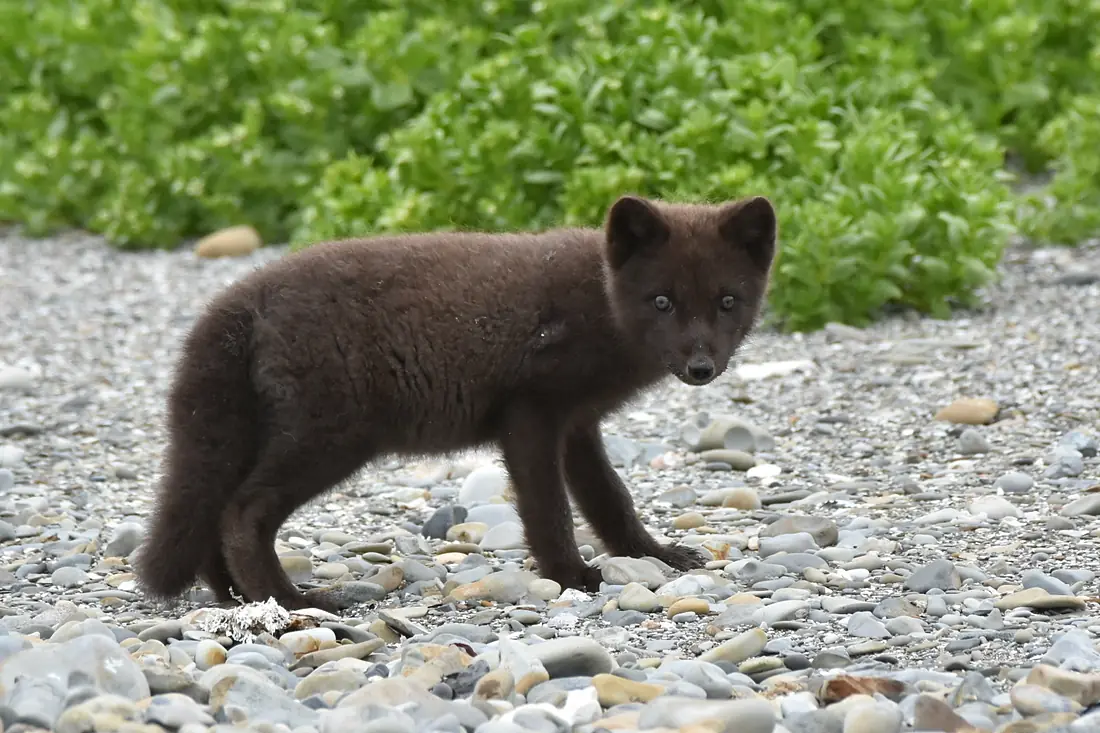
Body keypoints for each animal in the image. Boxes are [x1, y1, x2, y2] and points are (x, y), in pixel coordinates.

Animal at [133, 193, 779, 613]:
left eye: (726, 301)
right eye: (663, 301)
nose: (701, 367)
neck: (601, 300)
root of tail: (241, 299)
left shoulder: (578, 425)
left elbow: (610, 500)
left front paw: (654, 555)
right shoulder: (531, 416)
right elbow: (549, 510)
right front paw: (569, 576)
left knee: (215, 511)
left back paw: (237, 597)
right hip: (328, 436)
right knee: (242, 512)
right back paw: (292, 600)